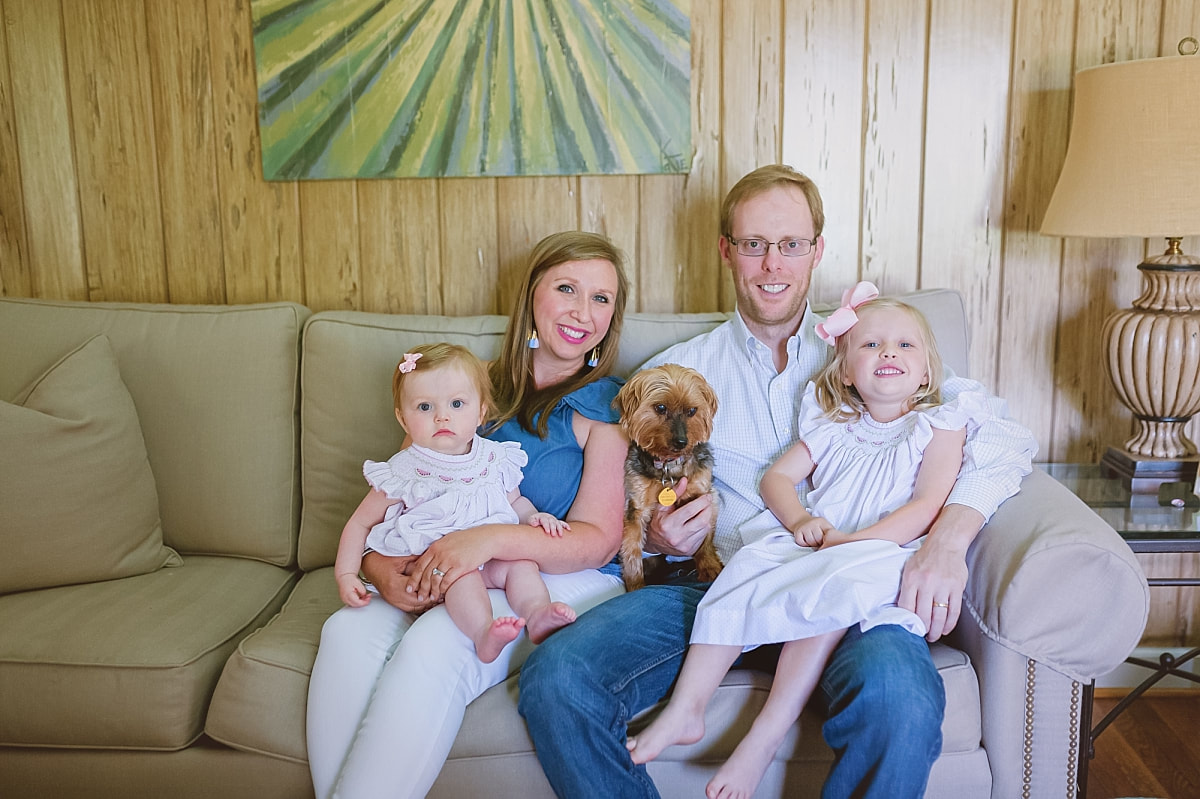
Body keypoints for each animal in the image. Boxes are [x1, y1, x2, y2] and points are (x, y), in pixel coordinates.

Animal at [619, 364, 720, 587]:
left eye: (692, 411)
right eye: (660, 408)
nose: (681, 441)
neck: (669, 466)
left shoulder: (704, 494)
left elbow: (706, 535)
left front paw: (709, 566)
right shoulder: (637, 506)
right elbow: (632, 551)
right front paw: (635, 585)